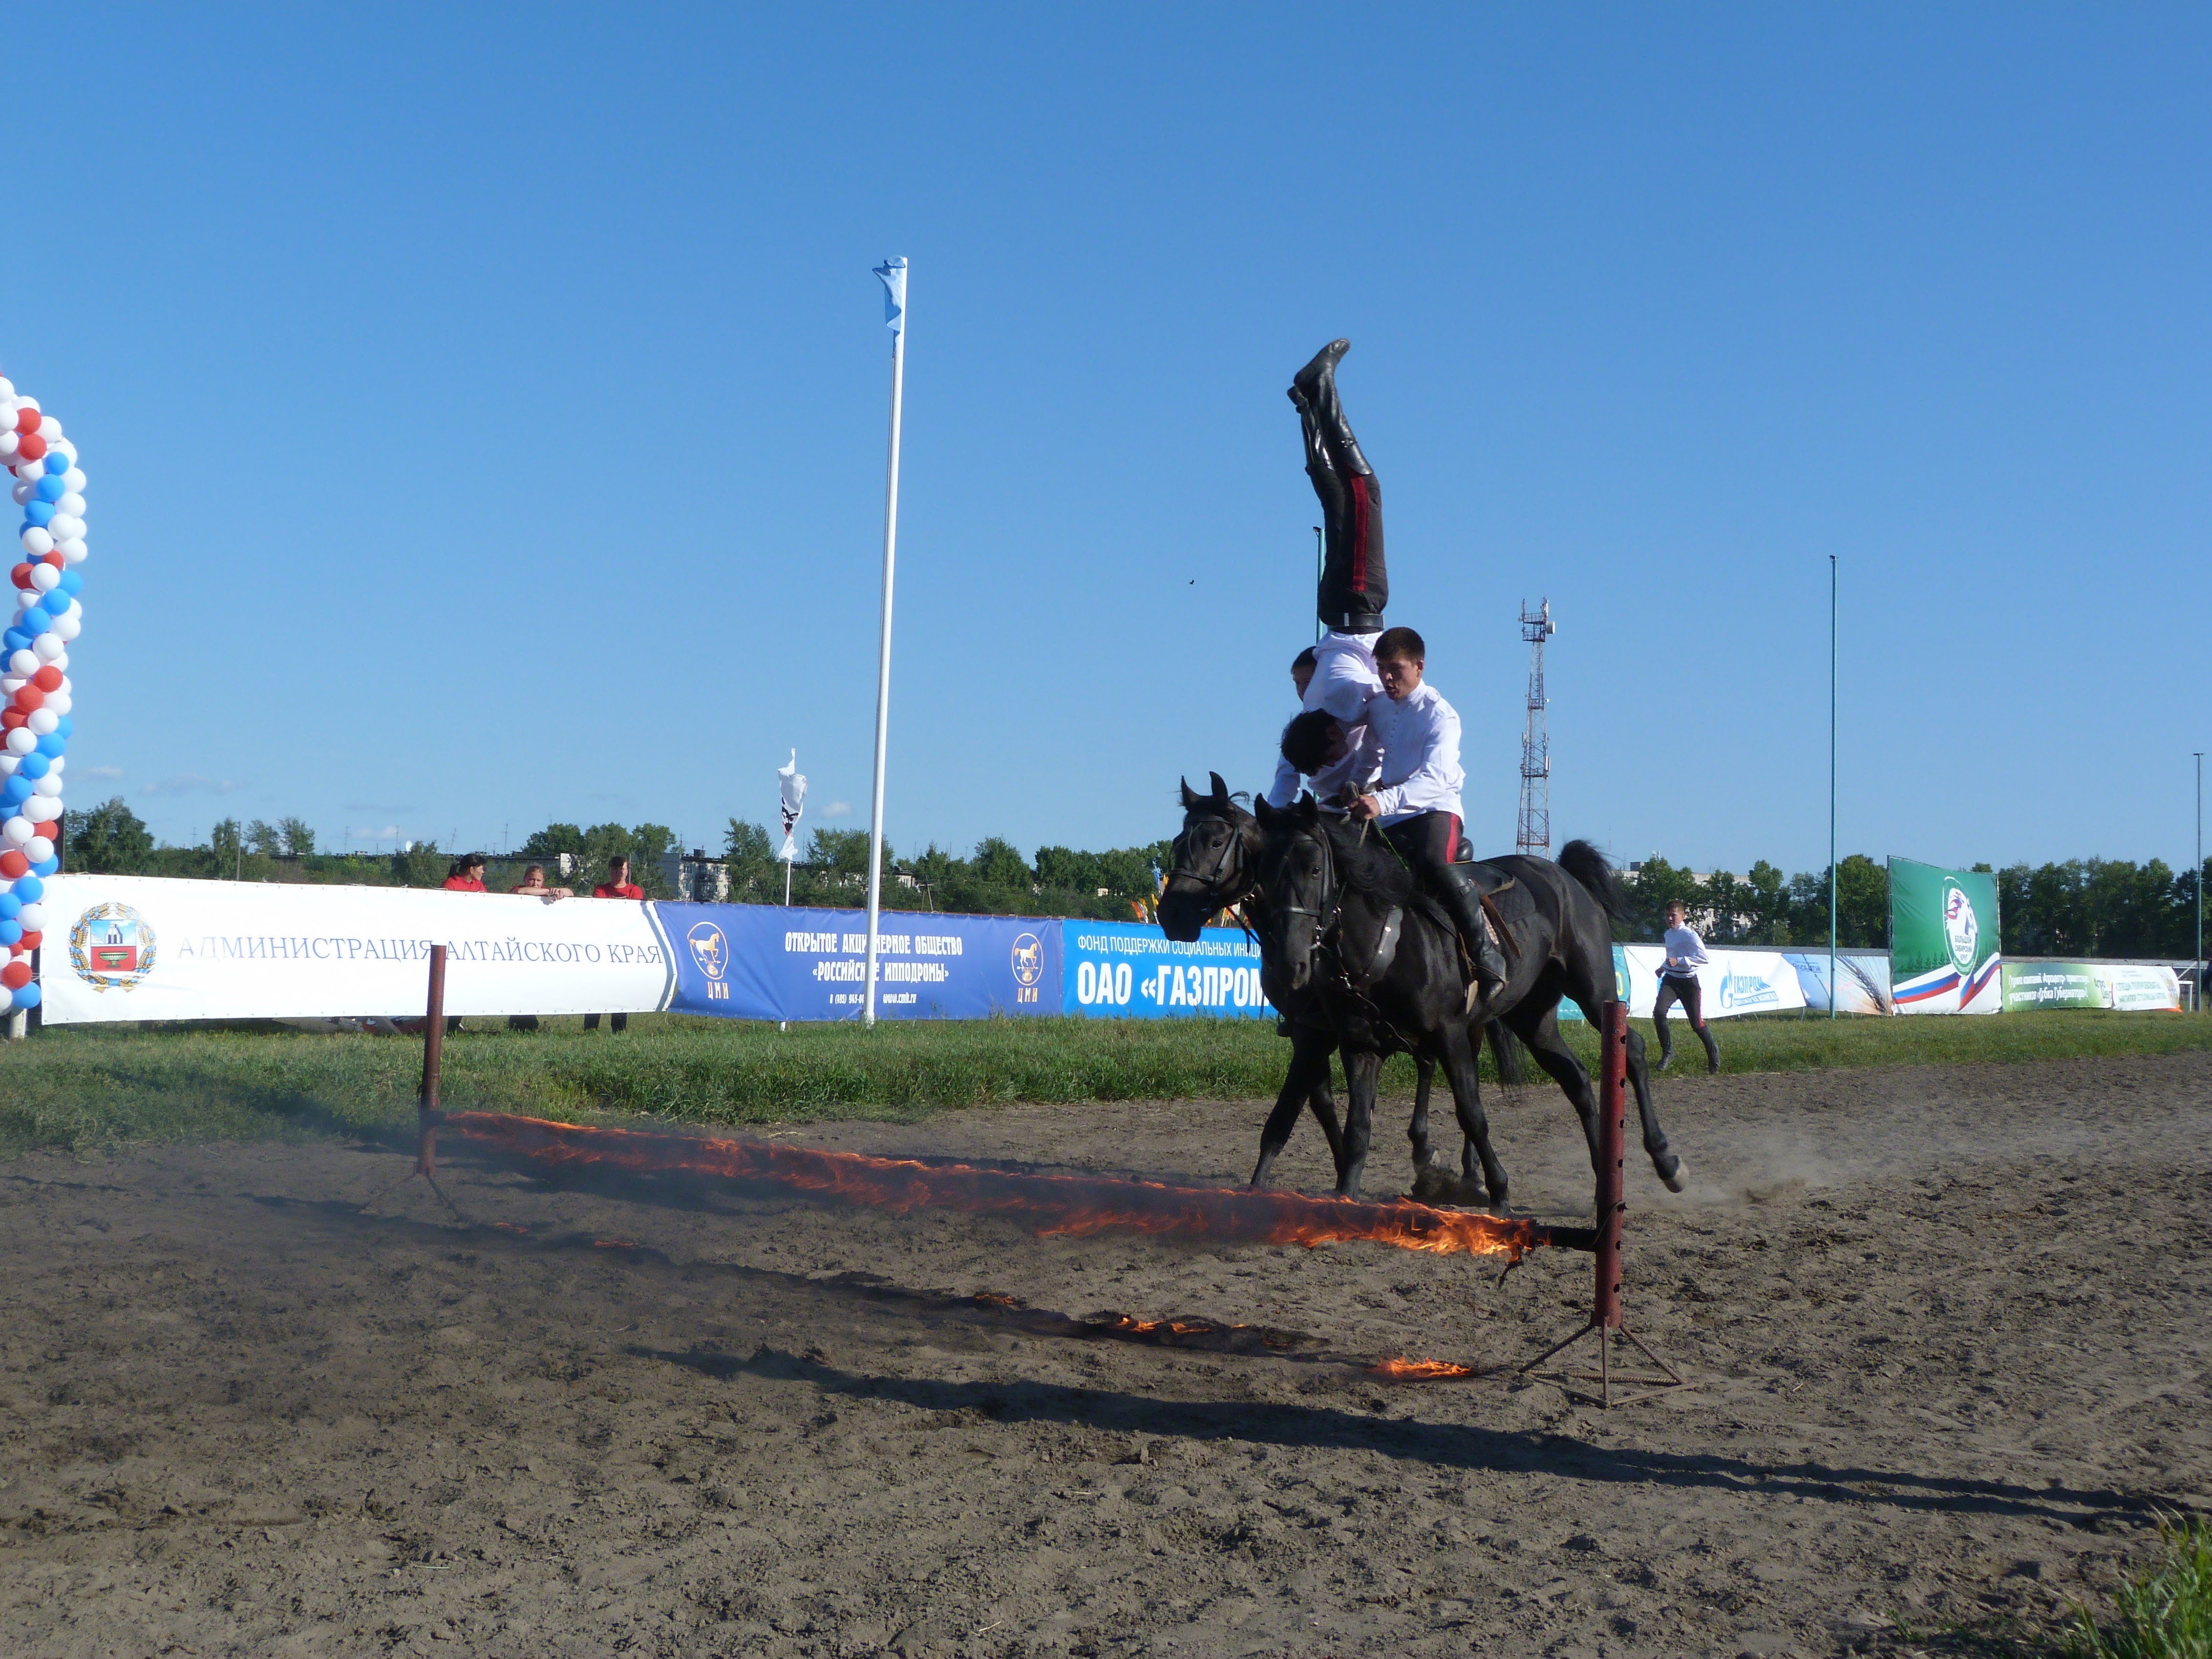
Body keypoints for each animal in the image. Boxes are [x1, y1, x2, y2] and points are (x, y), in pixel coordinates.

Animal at [1158, 775, 1527, 1191]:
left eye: (1216, 842)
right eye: (1178, 843)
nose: (1171, 914)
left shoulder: (1323, 1035)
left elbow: (1297, 1108)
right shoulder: (1311, 1031)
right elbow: (1318, 1105)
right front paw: (1338, 1169)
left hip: (1467, 1022)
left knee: (1464, 1075)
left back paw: (1469, 1168)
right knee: (1427, 1064)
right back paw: (1423, 1148)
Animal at [1253, 792, 1686, 1206]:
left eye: (1314, 868)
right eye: (1265, 873)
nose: (1290, 963)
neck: (1389, 938)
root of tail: (1563, 874)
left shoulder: (1451, 1034)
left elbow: (1472, 1113)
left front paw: (1499, 1193)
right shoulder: (1360, 1046)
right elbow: (1357, 1128)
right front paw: (1344, 1196)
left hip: (1595, 992)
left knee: (1634, 1050)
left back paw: (1665, 1160)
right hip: (1534, 1018)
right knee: (1575, 1077)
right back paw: (1603, 1177)